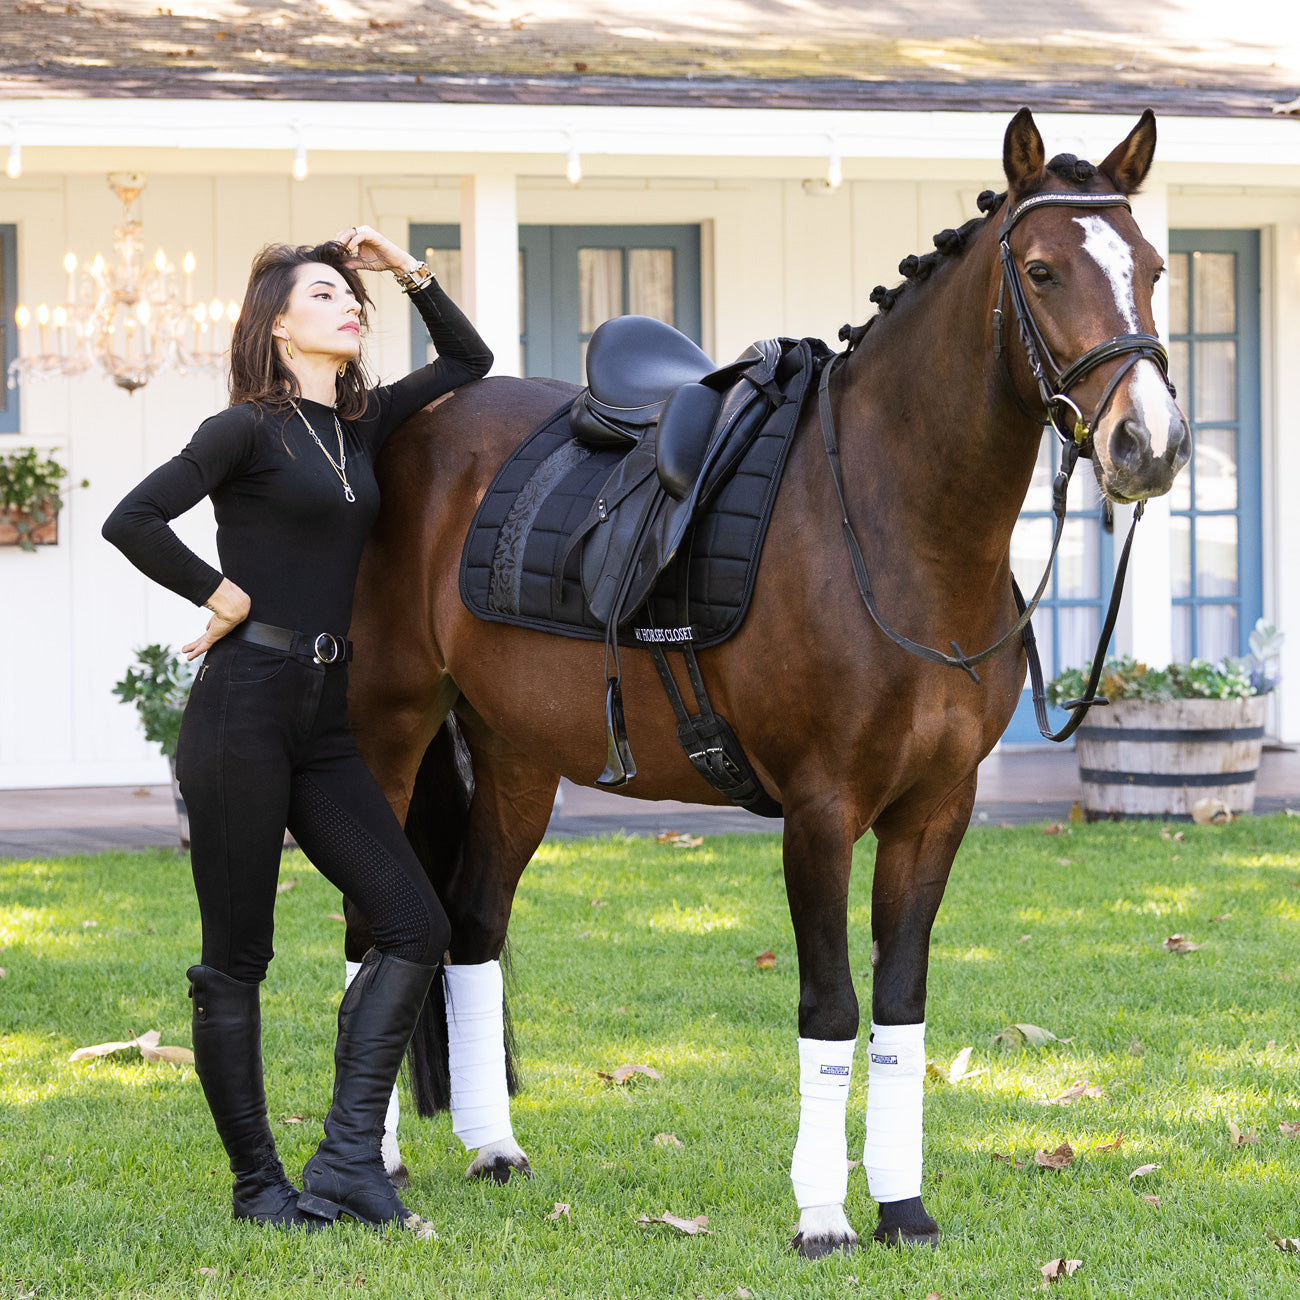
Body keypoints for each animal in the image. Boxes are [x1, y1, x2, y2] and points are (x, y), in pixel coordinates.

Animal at [343, 114, 1190, 1258]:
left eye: (1151, 269)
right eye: (1043, 269)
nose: (1150, 444)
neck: (892, 524)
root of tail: (406, 422)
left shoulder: (937, 809)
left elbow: (901, 1003)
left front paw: (903, 1208)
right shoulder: (820, 810)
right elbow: (830, 1006)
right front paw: (823, 1214)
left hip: (517, 754)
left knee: (474, 924)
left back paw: (493, 1146)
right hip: (388, 730)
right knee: (371, 928)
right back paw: (378, 1159)